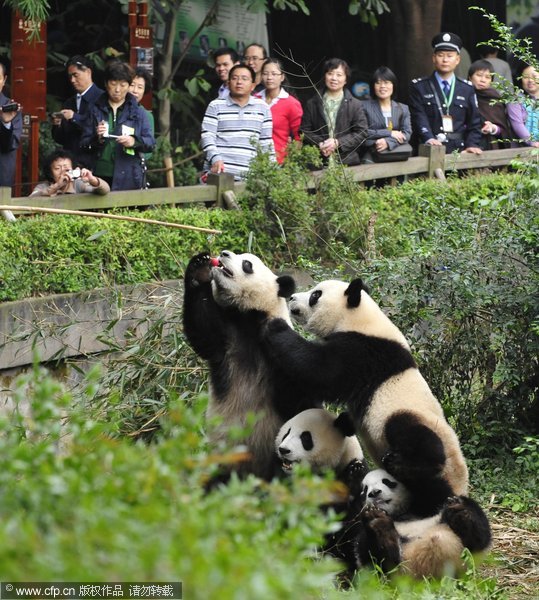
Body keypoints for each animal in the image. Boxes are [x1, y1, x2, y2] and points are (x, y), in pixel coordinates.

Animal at [184, 251, 322, 480]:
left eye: (247, 264)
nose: (223, 253)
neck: (249, 316)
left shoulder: (278, 348)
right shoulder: (227, 338)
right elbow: (203, 332)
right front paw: (200, 268)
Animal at [264, 276, 470, 516]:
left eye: (316, 295)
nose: (293, 298)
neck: (359, 318)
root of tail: (458, 489)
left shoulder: (364, 352)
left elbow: (321, 370)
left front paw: (277, 326)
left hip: (414, 422)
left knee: (414, 434)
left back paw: (402, 463)